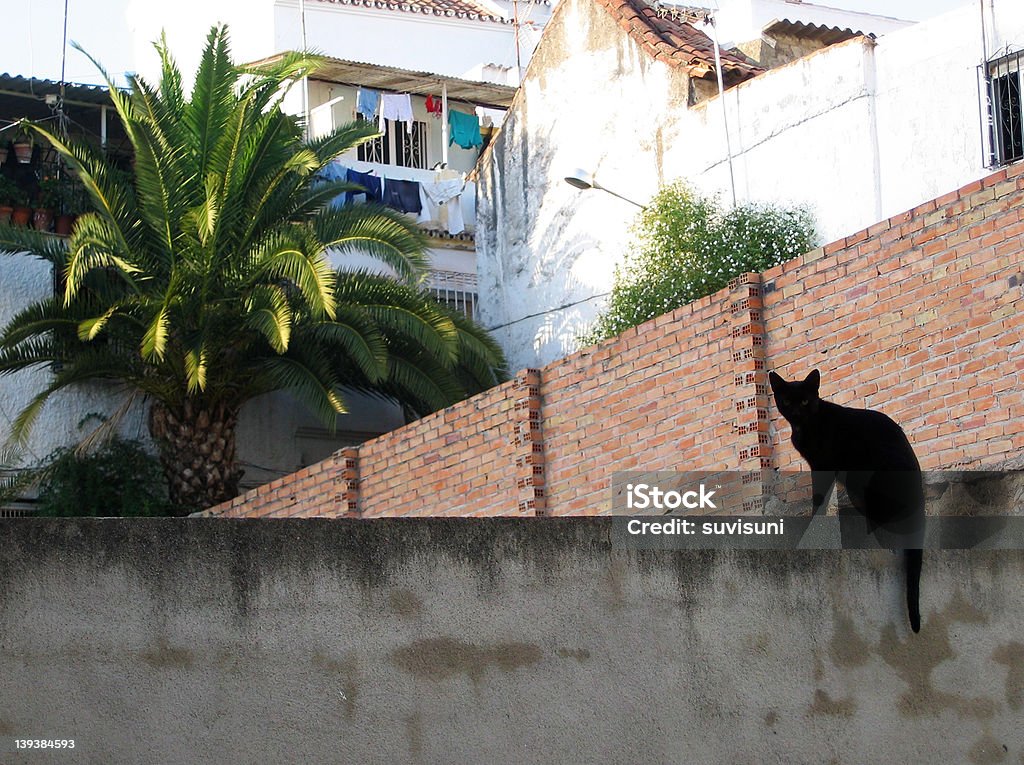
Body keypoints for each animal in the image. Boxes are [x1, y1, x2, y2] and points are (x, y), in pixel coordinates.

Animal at [770, 368, 925, 630]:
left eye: (805, 401)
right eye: (788, 401)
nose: (797, 412)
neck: (805, 426)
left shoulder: (822, 466)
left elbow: (819, 498)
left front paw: (813, 521)